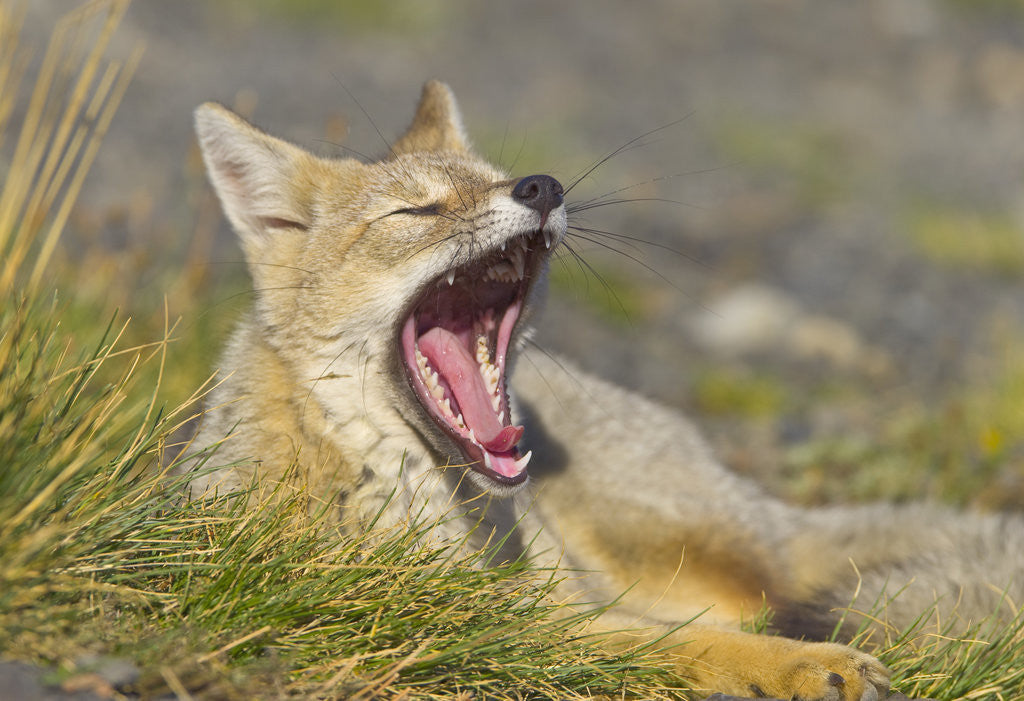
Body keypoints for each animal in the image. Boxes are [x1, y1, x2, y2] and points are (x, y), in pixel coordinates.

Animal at [185, 80, 1024, 700]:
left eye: (498, 179)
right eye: (416, 209)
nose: (541, 185)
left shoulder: (550, 604)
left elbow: (688, 634)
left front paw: (801, 659)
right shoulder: (511, 623)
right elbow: (679, 643)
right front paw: (802, 664)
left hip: (678, 551)